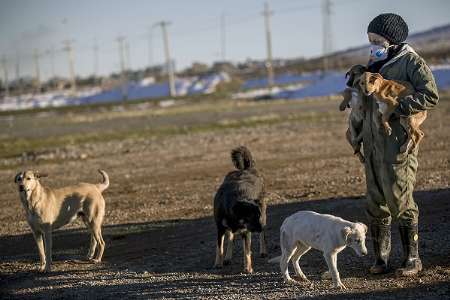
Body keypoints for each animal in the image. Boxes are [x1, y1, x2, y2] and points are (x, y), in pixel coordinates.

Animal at [212, 146, 266, 274]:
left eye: (258, 216)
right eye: (251, 217)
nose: (261, 227)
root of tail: (247, 168)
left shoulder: (246, 230)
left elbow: (247, 251)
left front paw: (248, 268)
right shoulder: (220, 228)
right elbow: (219, 247)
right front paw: (218, 263)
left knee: (260, 237)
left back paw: (263, 251)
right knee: (231, 237)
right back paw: (227, 258)